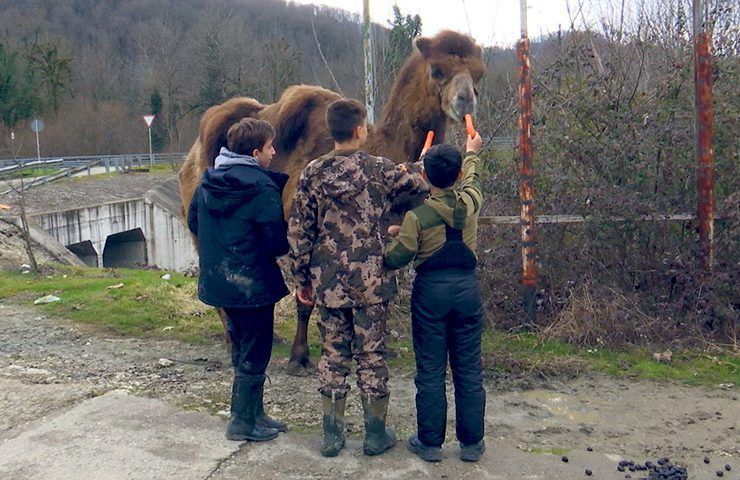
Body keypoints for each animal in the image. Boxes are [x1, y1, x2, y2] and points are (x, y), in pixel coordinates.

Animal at [179, 29, 486, 376]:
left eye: (478, 74)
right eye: (437, 70)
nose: (466, 100)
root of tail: (190, 155)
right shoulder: (302, 225)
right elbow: (306, 298)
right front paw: (299, 357)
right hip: (199, 222)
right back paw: (235, 341)